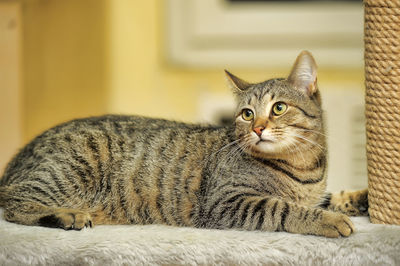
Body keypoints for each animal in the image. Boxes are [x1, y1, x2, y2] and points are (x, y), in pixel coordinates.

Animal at [0, 50, 368, 237]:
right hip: (68, 172)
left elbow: (332, 196)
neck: (305, 166)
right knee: (13, 201)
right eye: (247, 114)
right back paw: (66, 215)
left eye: (278, 108)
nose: (258, 128)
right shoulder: (228, 200)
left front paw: (360, 198)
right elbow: (284, 208)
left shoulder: (314, 192)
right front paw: (328, 221)